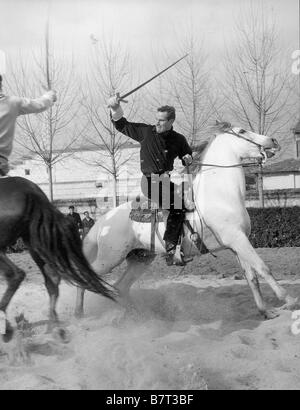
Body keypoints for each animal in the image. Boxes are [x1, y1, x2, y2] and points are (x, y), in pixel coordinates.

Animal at [0, 176, 115, 342]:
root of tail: (31, 191)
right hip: (36, 241)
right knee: (51, 278)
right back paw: (55, 328)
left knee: (16, 274)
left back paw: (8, 329)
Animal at [74, 121, 298, 320]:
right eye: (242, 131)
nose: (272, 140)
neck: (221, 194)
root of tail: (103, 220)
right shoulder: (237, 239)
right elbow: (263, 268)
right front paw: (289, 299)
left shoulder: (237, 244)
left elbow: (252, 277)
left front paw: (266, 311)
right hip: (110, 258)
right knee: (87, 277)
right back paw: (78, 314)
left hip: (140, 259)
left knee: (120, 287)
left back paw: (139, 316)